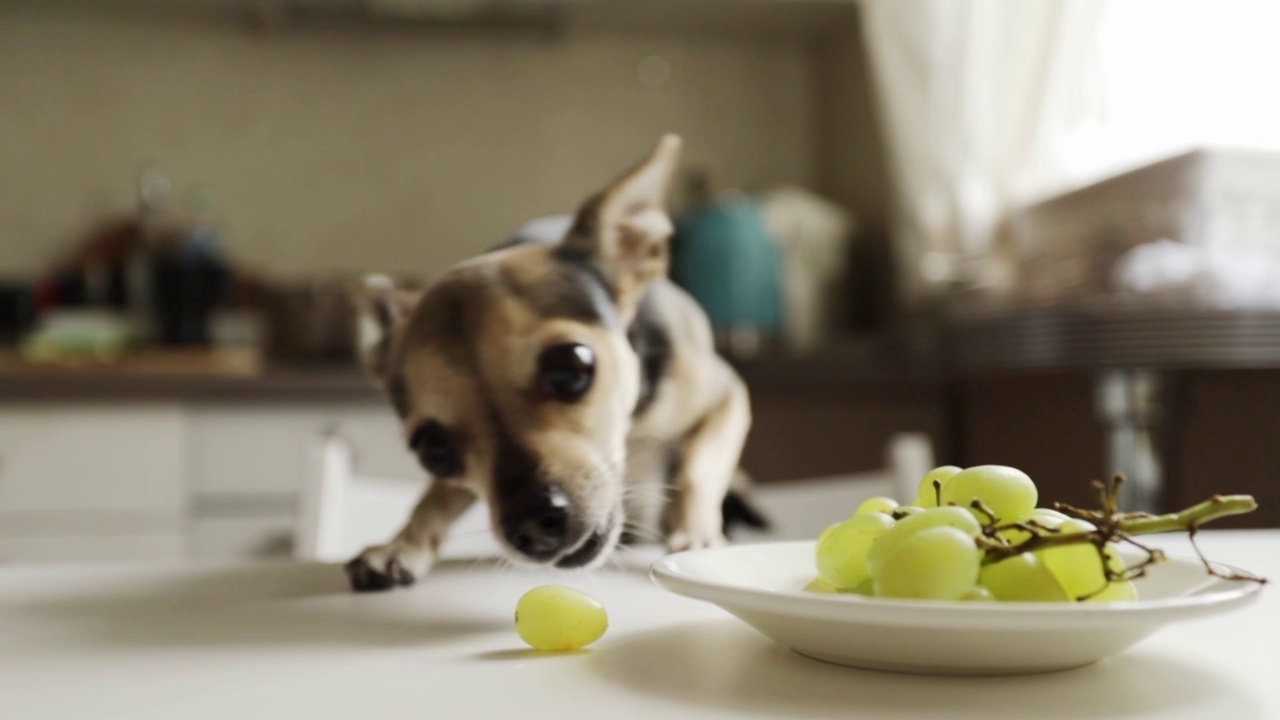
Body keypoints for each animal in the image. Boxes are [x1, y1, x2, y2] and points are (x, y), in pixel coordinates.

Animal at [343, 134, 757, 589]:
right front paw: (400, 546)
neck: (629, 429)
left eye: (571, 370)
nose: (532, 525)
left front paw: (697, 535)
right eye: (434, 451)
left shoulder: (728, 398)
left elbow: (698, 470)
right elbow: (434, 497)